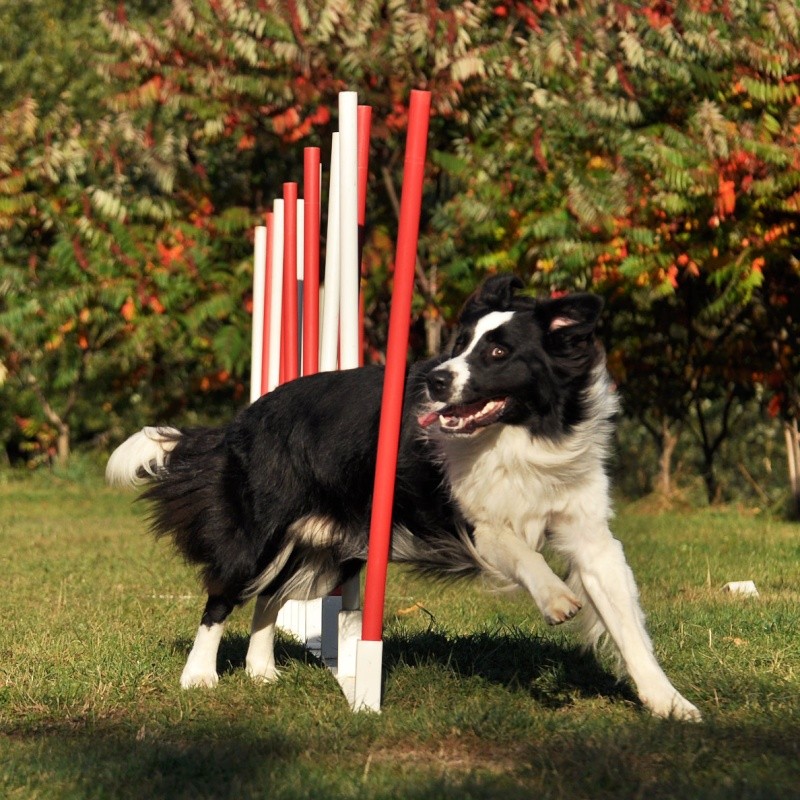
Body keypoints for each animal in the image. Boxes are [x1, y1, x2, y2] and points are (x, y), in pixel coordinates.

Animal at [106, 276, 700, 720]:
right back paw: (199, 677)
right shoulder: (473, 521)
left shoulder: (587, 528)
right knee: (224, 593)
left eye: (498, 351)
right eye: (458, 345)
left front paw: (669, 703)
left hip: (332, 547)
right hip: (262, 529)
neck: (518, 434)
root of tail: (242, 419)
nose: (435, 381)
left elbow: (625, 621)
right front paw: (556, 598)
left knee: (271, 594)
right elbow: (521, 550)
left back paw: (261, 671)